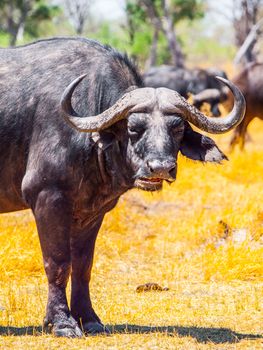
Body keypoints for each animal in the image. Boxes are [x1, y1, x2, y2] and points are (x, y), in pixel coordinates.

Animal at [0, 37, 248, 336]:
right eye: (133, 128)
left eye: (177, 128)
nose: (160, 168)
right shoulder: (48, 198)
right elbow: (57, 262)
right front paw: (61, 322)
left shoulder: (91, 212)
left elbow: (83, 265)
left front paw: (89, 318)